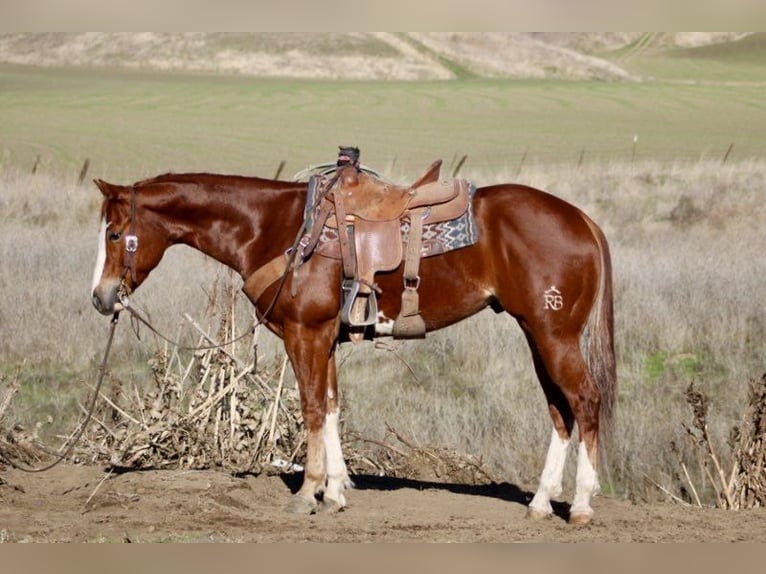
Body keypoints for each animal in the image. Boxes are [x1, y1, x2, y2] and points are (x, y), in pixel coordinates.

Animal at [90, 163, 616, 525]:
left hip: (554, 336)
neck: (276, 228)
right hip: (537, 335)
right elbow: (331, 406)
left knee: (585, 400)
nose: (100, 297)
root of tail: (583, 220)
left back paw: (581, 505)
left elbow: (311, 408)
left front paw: (309, 492)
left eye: (114, 233)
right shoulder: (325, 339)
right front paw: (337, 491)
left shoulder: (306, 334)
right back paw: (541, 502)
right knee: (560, 410)